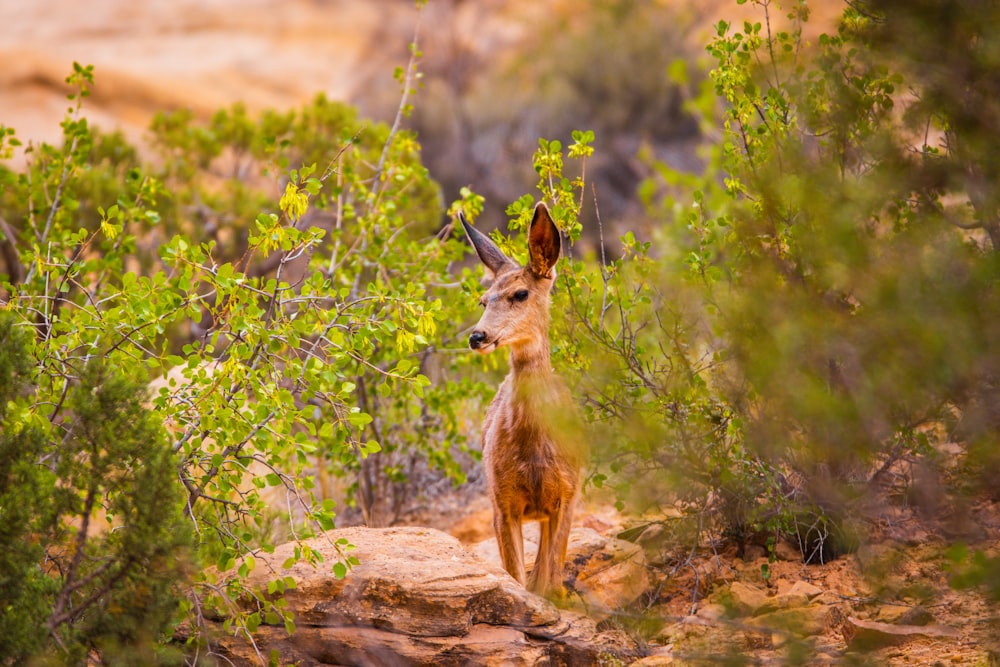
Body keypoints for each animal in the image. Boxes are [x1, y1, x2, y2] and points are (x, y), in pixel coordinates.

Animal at [460, 202, 584, 596]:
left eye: (520, 294)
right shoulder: (502, 502)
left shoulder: (567, 496)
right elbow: (517, 579)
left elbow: (549, 584)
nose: (477, 336)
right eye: (483, 300)